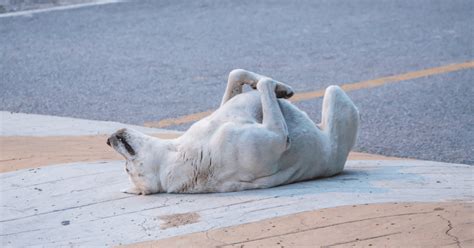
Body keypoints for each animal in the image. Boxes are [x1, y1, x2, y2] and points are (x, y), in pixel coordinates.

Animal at [107, 69, 360, 195]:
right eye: (129, 168)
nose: (109, 140)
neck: (177, 153)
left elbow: (236, 75)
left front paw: (281, 89)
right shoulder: (275, 138)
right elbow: (264, 87)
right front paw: (273, 86)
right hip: (337, 104)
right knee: (334, 93)